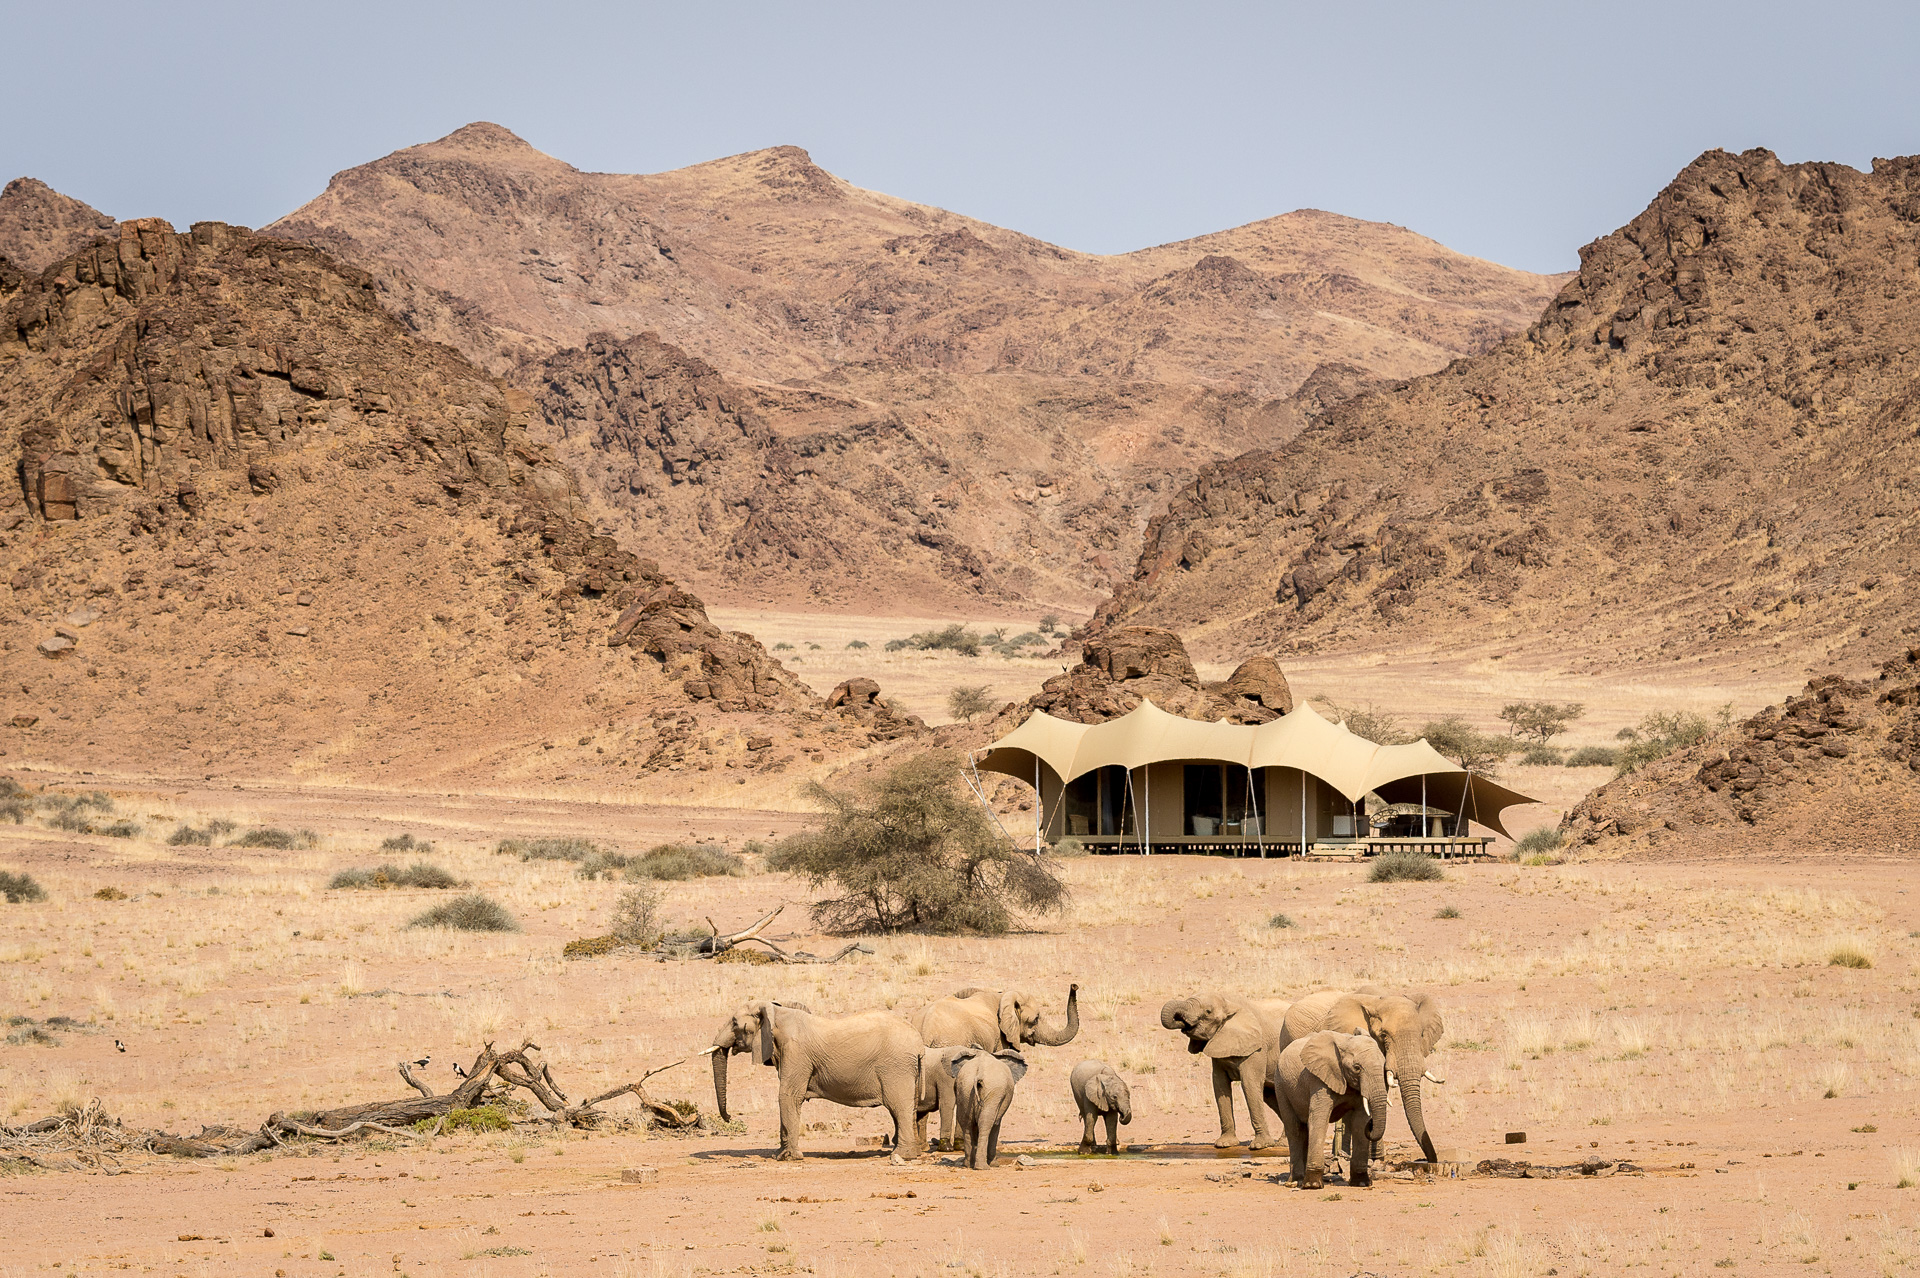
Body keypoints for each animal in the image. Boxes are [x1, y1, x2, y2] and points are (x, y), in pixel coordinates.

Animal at [707, 1000, 923, 1163]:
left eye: (735, 1023)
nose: (730, 1118)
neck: (777, 1012)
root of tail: (918, 1042)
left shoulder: (796, 1052)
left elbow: (788, 1096)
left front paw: (788, 1157)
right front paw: (778, 1155)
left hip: (896, 1067)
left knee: (898, 1107)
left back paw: (900, 1155)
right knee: (907, 1109)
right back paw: (910, 1153)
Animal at [916, 984, 1077, 1149]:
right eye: (1036, 1019)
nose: (1074, 986)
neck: (1002, 996)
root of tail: (925, 1028)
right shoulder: (1000, 1037)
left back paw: (924, 1147)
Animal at [1158, 993, 1291, 1148]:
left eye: (1208, 1012)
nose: (1182, 1022)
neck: (1229, 1003)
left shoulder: (1257, 1048)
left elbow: (1249, 1084)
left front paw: (1259, 1146)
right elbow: (1220, 1085)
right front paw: (1224, 1144)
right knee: (1269, 1094)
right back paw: (1284, 1144)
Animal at [1271, 1030, 1389, 1189]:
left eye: (1384, 1066)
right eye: (1357, 1068)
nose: (1371, 1125)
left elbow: (1359, 1123)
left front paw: (1361, 1183)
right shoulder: (1319, 1079)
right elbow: (1319, 1119)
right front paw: (1313, 1185)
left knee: (1304, 1130)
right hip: (1281, 1085)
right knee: (1295, 1129)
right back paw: (1297, 1181)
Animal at [1280, 988, 1445, 1164]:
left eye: (1421, 1035)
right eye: (1384, 1035)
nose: (1429, 1161)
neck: (1378, 1001)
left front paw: (1376, 1158)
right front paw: (1370, 1158)